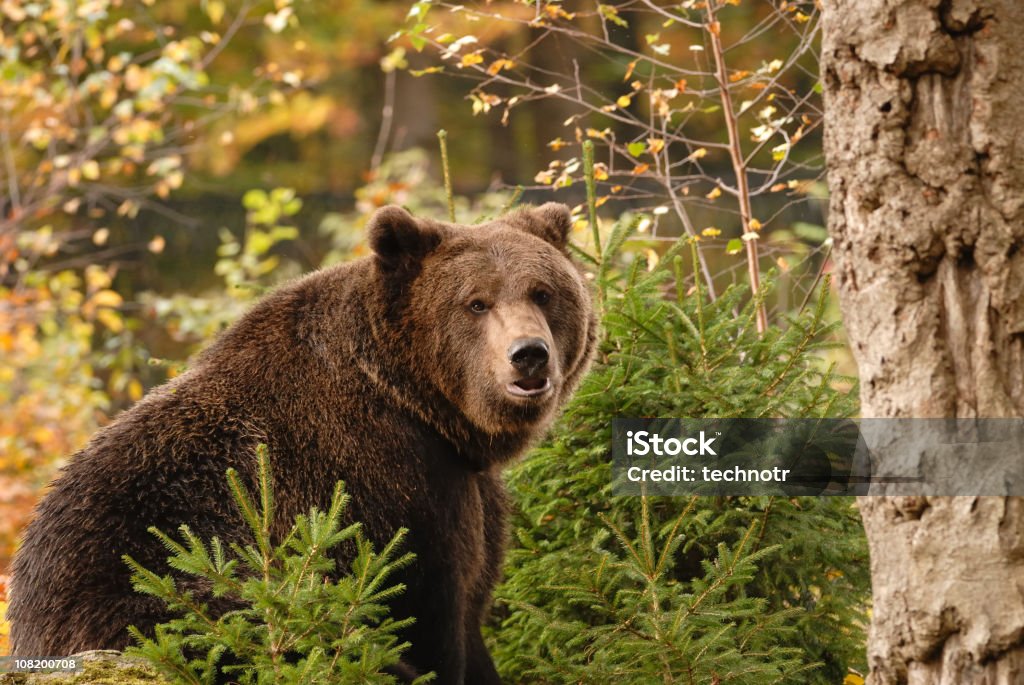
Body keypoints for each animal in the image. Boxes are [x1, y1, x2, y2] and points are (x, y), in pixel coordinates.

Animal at [8, 202, 598, 683]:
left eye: (543, 292)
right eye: (476, 303)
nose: (529, 354)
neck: (419, 404)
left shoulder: (466, 485)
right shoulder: (397, 483)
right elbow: (428, 610)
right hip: (165, 602)